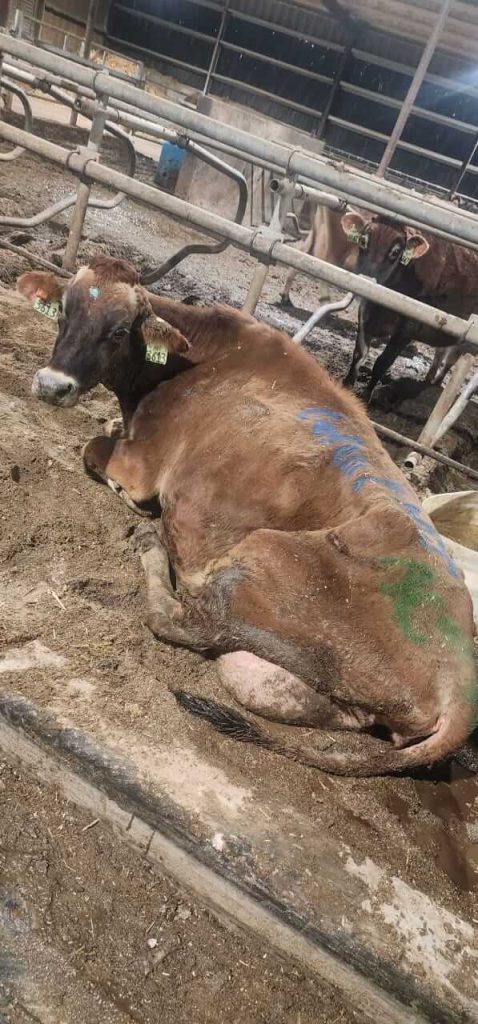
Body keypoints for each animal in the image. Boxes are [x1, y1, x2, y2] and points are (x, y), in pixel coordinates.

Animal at [18, 255, 478, 776]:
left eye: (117, 331)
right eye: (63, 313)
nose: (52, 385)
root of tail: (460, 694)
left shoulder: (143, 465)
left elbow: (93, 448)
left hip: (263, 554)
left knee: (182, 622)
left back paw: (152, 545)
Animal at [340, 212, 478, 398]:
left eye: (396, 252)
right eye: (362, 241)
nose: (366, 280)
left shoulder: (409, 328)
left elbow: (382, 363)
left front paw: (366, 395)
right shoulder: (366, 312)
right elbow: (359, 354)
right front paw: (345, 387)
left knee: (451, 359)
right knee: (442, 354)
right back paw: (429, 379)